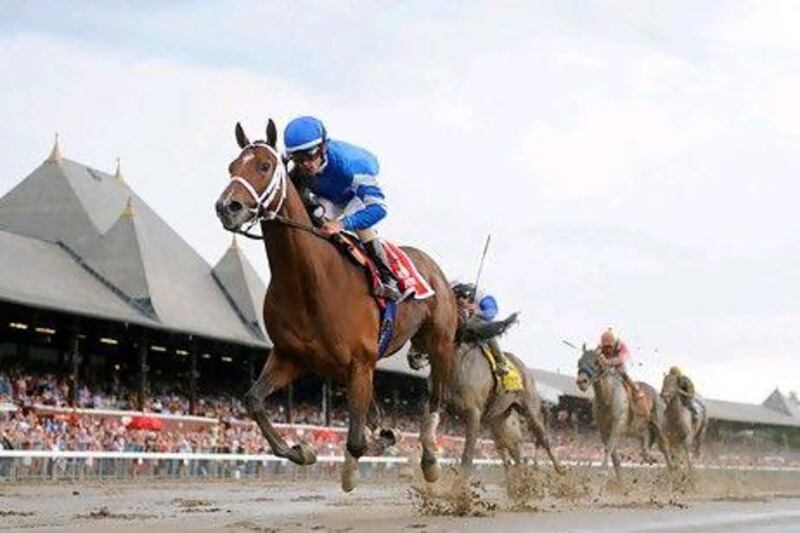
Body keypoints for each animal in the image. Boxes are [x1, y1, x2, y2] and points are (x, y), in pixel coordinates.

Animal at [216, 120, 460, 490]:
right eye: (232, 167)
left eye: (264, 166)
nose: (227, 207)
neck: (308, 281)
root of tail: (433, 268)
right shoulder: (292, 356)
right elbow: (254, 400)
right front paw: (302, 451)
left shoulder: (360, 362)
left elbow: (358, 440)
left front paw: (358, 459)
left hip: (440, 343)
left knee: (435, 400)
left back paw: (430, 459)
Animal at [576, 344, 668, 482]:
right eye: (579, 362)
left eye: (597, 361)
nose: (582, 381)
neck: (607, 398)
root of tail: (657, 393)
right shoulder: (602, 429)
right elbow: (614, 455)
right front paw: (620, 480)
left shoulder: (618, 424)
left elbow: (609, 447)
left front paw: (603, 471)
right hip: (639, 431)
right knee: (645, 448)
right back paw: (650, 458)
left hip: (657, 423)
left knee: (664, 446)